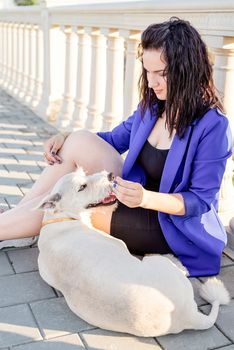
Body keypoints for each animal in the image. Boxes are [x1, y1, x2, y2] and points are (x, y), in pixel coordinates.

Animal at [37, 168, 230, 338]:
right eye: (82, 187)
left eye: (85, 173)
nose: (111, 175)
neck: (60, 219)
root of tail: (188, 315)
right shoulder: (119, 244)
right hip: (159, 266)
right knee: (173, 265)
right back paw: (175, 261)